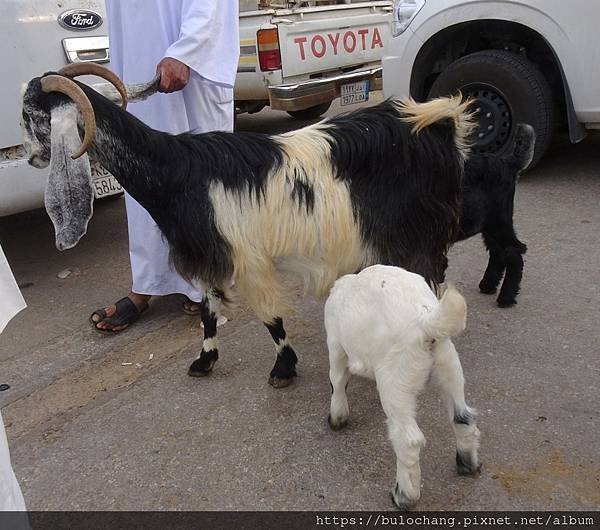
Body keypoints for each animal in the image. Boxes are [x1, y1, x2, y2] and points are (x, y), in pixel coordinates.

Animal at [22, 64, 474, 386]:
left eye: (29, 114)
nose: (32, 159)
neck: (178, 173)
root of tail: (437, 119)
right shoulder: (210, 254)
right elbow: (208, 312)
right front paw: (204, 361)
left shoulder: (246, 257)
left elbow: (270, 316)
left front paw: (284, 369)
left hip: (416, 228)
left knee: (430, 274)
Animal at [454, 123, 536, 306]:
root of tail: (508, 162)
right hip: (488, 224)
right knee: (497, 251)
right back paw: (488, 284)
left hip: (499, 220)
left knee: (514, 251)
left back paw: (506, 297)